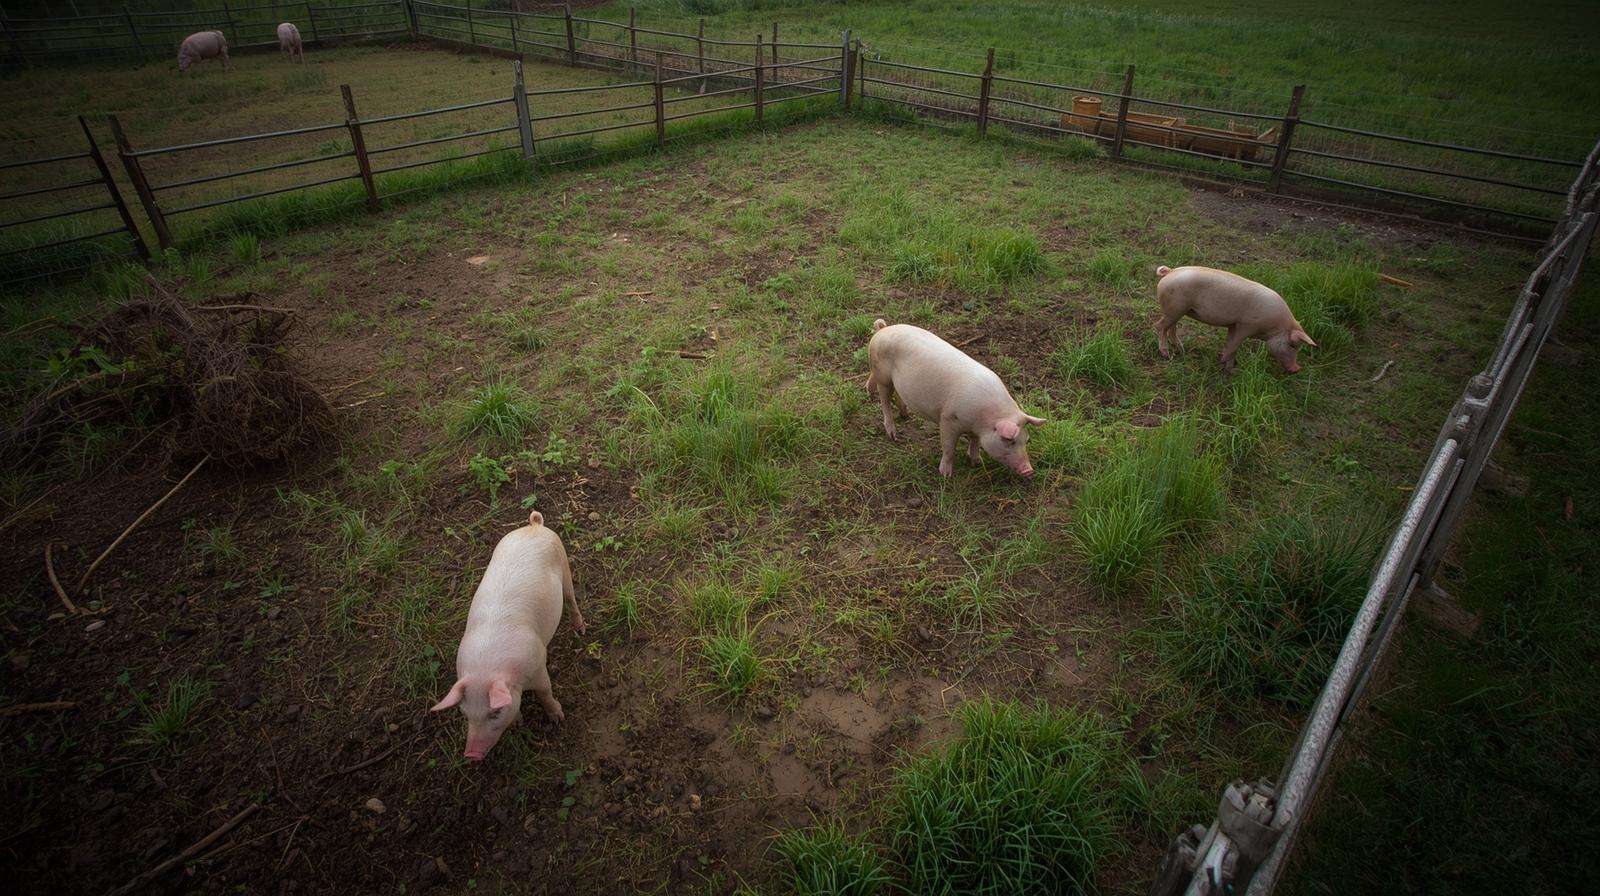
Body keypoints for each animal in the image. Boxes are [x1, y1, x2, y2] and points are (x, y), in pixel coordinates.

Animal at [431, 509, 587, 762]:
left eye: (495, 712)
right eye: (465, 712)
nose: (471, 754)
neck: (486, 669)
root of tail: (534, 527)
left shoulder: (538, 665)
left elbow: (545, 693)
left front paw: (558, 719)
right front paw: (517, 724)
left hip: (563, 564)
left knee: (571, 598)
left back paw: (580, 629)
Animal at [865, 319, 1045, 478]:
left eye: (1026, 440)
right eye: (1010, 441)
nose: (1029, 471)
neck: (982, 421)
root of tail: (882, 330)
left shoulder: (975, 429)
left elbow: (975, 442)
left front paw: (976, 462)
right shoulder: (948, 419)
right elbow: (949, 448)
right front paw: (946, 475)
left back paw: (905, 415)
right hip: (883, 375)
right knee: (885, 401)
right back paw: (893, 434)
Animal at [1152, 265, 1317, 374]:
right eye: (1293, 345)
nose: (1297, 368)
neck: (1274, 327)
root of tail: (1170, 272)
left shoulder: (1233, 324)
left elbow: (1230, 342)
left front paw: (1230, 366)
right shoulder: (1246, 325)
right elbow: (1234, 345)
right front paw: (1227, 367)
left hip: (1178, 310)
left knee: (1171, 328)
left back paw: (1181, 349)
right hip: (1174, 308)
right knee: (1160, 326)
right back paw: (1166, 354)